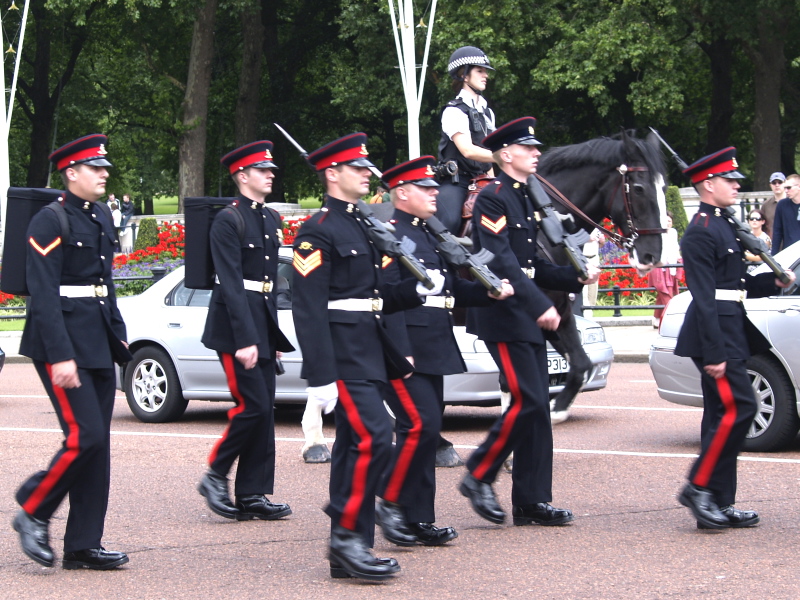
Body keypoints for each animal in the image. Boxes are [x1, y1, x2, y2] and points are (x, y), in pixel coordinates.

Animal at [536, 130, 672, 422]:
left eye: (665, 188)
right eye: (639, 189)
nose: (652, 256)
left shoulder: (558, 310)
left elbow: (580, 364)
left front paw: (557, 408)